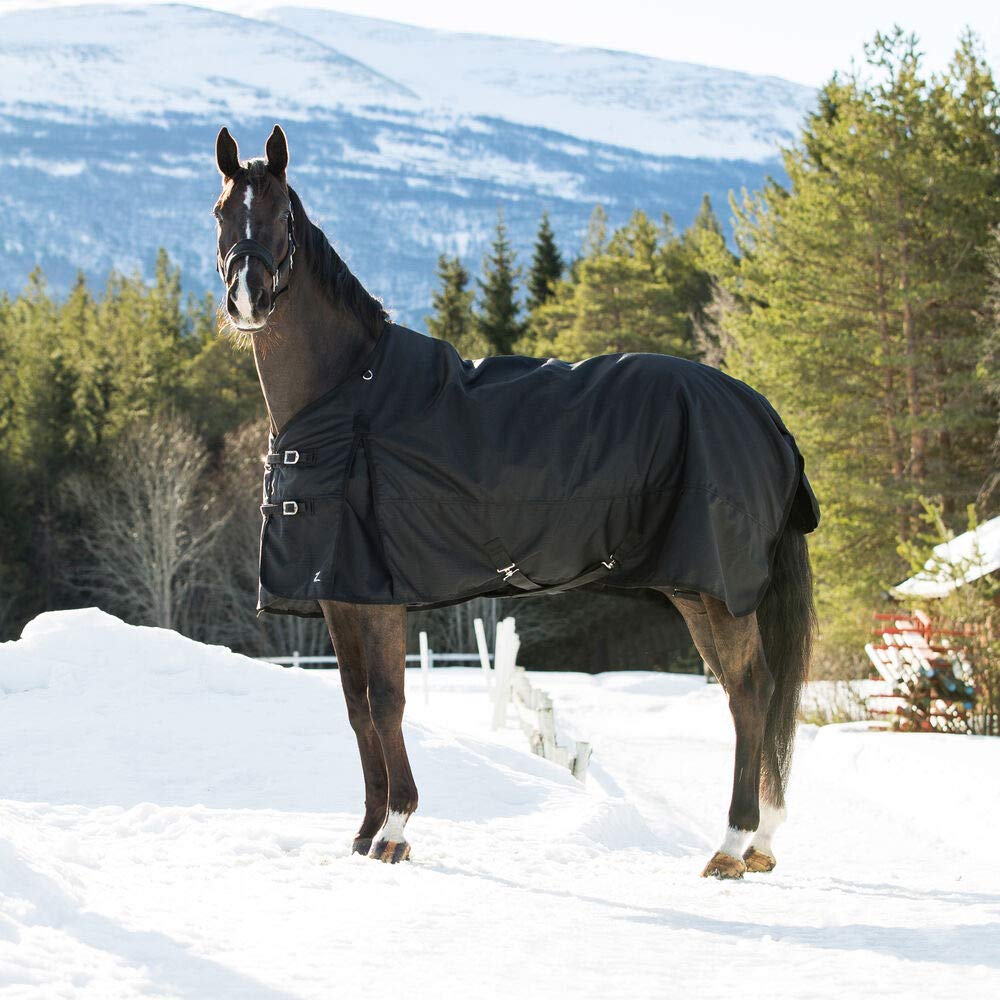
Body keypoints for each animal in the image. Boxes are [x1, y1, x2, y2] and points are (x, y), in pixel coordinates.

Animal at [212, 124, 818, 878]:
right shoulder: (337, 596)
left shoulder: (376, 597)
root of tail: (763, 414)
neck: (347, 396)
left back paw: (733, 844)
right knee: (746, 692)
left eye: (281, 215)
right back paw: (758, 843)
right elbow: (356, 707)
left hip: (716, 590)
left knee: (751, 689)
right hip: (696, 591)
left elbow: (388, 703)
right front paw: (364, 833)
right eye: (221, 211)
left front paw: (397, 830)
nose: (247, 296)